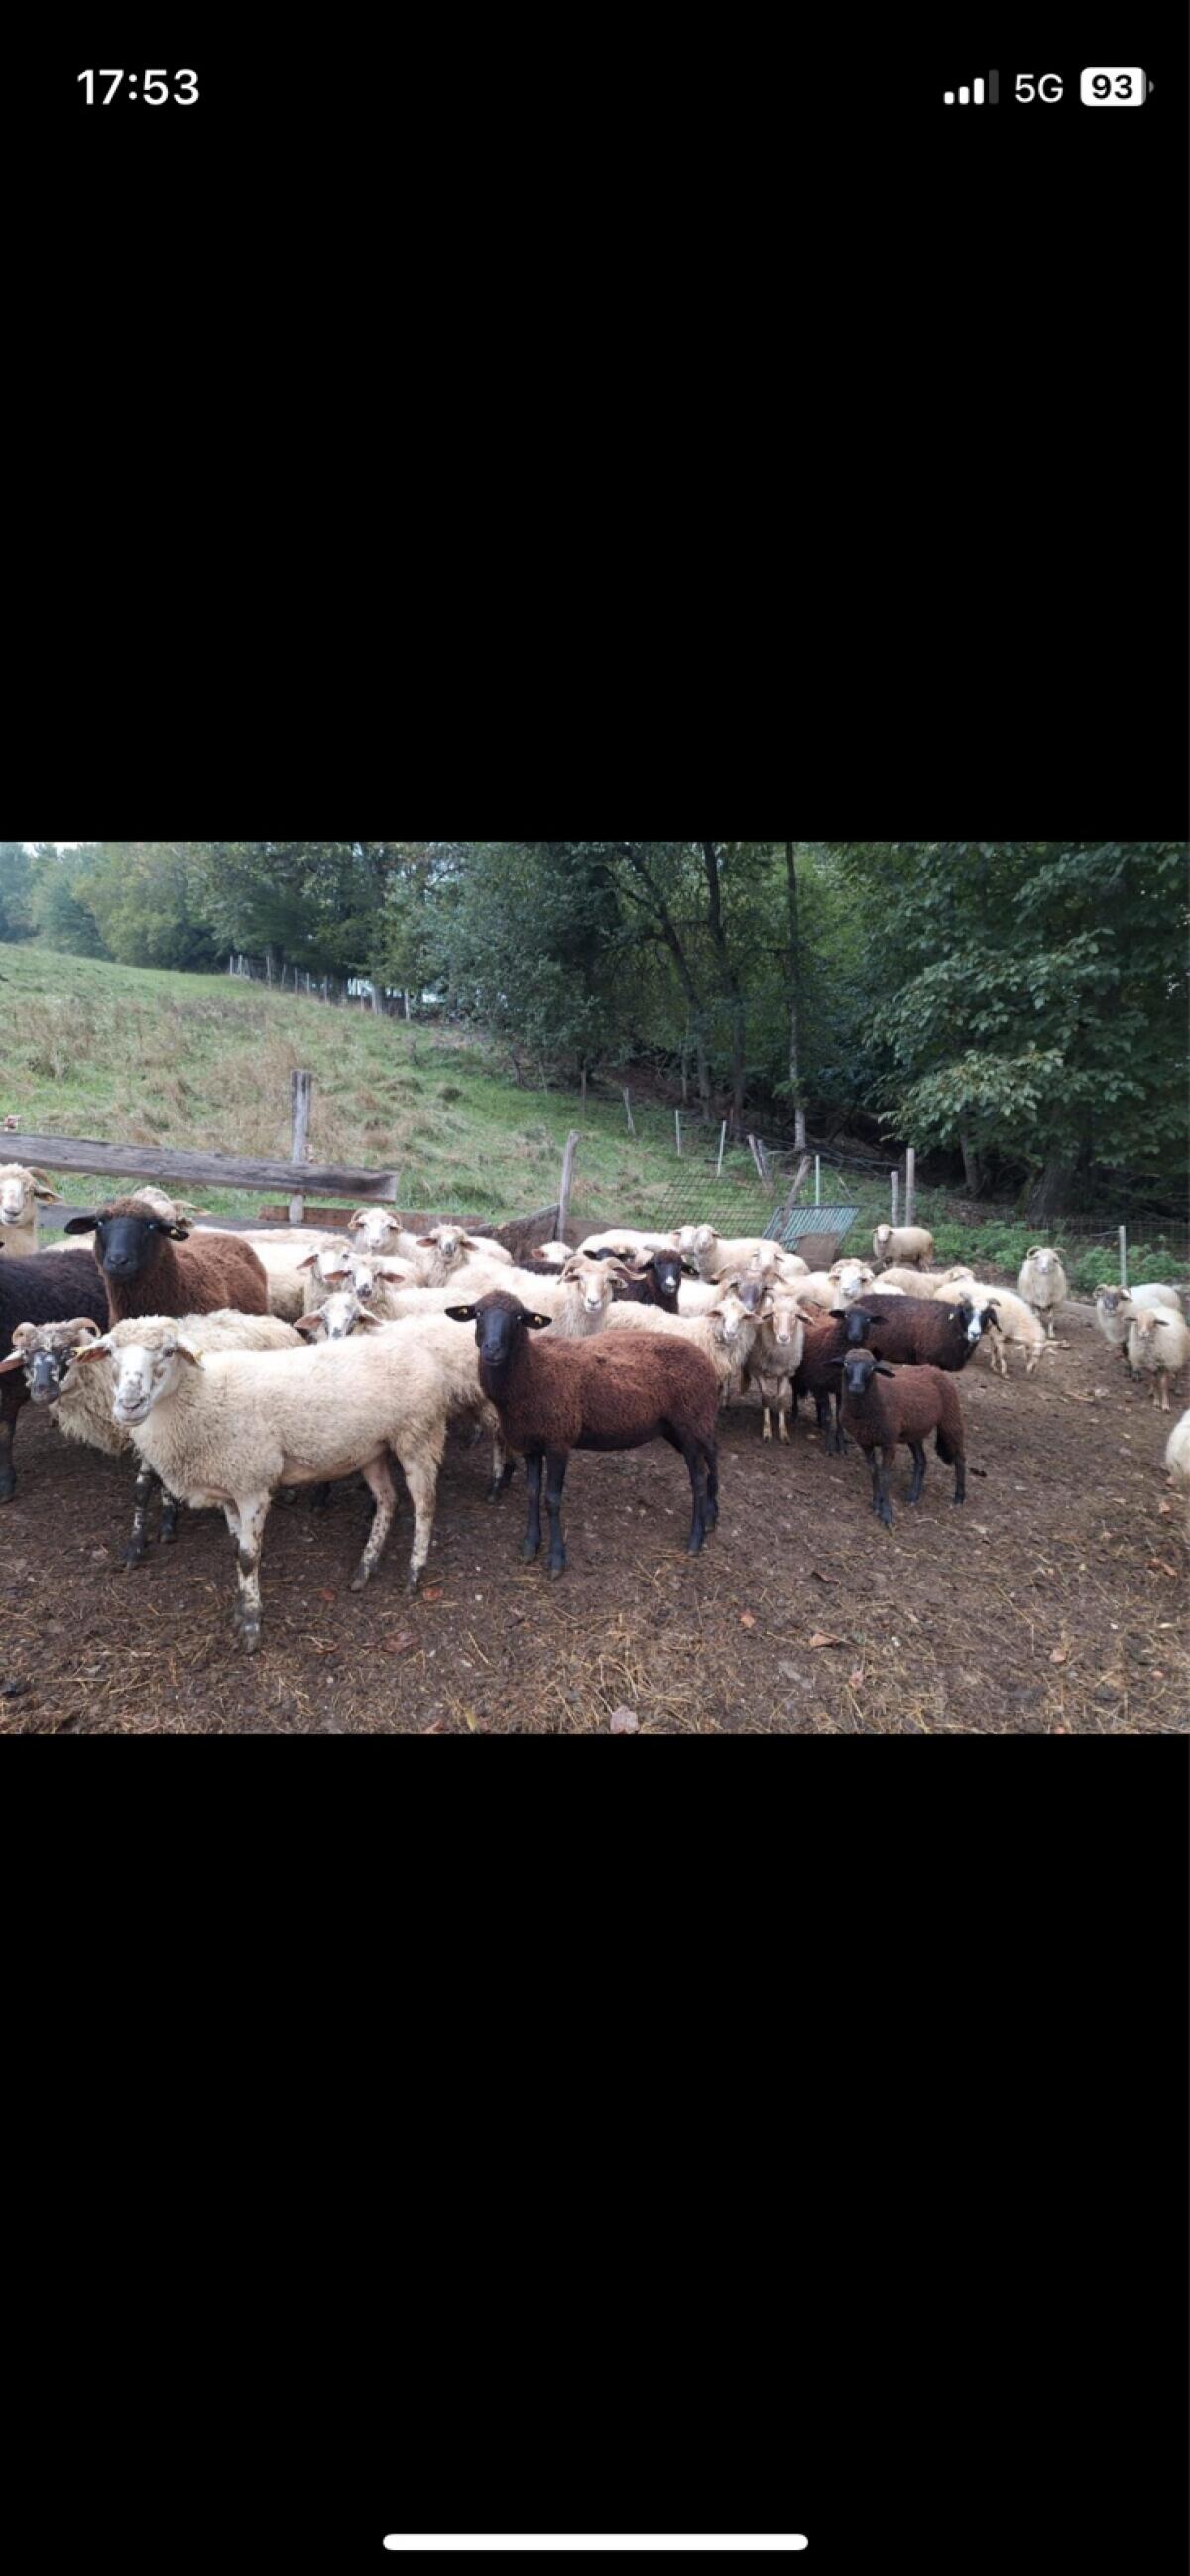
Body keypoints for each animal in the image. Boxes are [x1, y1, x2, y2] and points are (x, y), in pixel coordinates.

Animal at [0, 1306, 302, 1562]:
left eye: (67, 1352)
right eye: (26, 1356)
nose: (42, 1391)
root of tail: (276, 1322)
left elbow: (143, 1489)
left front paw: (150, 1536)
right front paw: (154, 1529)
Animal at [70, 1311, 493, 1647]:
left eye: (168, 1352)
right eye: (110, 1354)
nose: (129, 1405)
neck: (201, 1398)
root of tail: (419, 1351)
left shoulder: (253, 1483)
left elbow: (247, 1556)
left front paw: (251, 1626)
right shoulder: (229, 1488)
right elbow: (234, 1548)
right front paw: (240, 1608)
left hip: (418, 1434)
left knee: (424, 1505)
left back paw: (414, 1573)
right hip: (371, 1448)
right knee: (388, 1500)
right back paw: (365, 1567)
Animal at [445, 1289, 720, 1574]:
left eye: (518, 1318)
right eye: (477, 1313)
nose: (492, 1349)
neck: (533, 1372)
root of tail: (704, 1359)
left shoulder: (558, 1441)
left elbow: (552, 1499)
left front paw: (556, 1558)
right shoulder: (531, 1443)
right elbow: (533, 1493)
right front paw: (530, 1544)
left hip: (691, 1422)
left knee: (699, 1478)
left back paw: (696, 1538)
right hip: (681, 1425)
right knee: (711, 1457)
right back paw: (711, 1516)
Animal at [829, 1348, 966, 1527]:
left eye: (871, 1368)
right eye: (846, 1364)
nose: (856, 1387)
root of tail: (934, 1369)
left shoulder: (889, 1441)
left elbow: (885, 1475)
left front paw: (886, 1512)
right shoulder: (865, 1441)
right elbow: (873, 1471)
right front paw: (876, 1503)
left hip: (950, 1419)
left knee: (959, 1457)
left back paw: (959, 1497)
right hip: (914, 1431)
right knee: (921, 1460)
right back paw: (913, 1495)